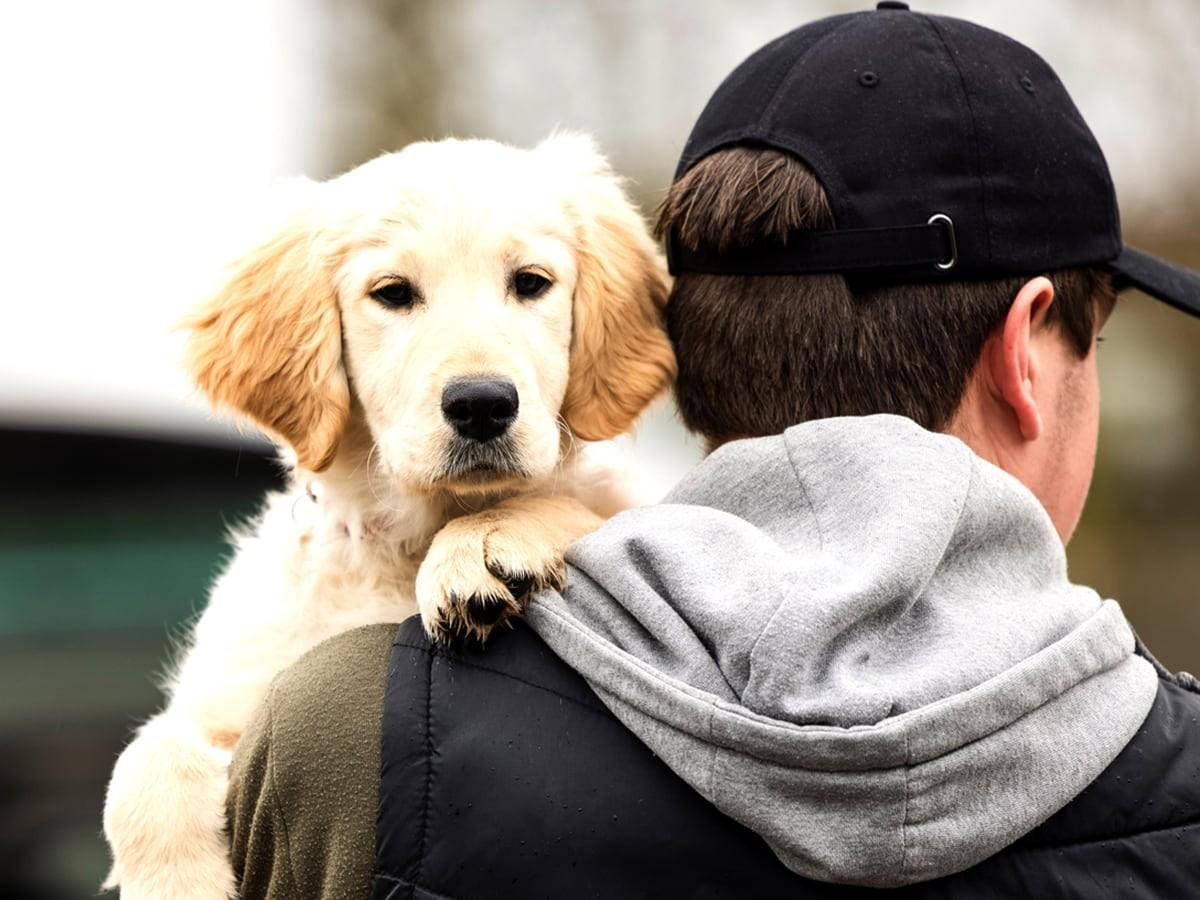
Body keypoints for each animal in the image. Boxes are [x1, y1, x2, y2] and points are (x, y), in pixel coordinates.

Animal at [103, 135, 676, 900]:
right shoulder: (234, 695)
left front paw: (485, 543)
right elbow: (142, 762)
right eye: (393, 294)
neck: (408, 539)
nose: (483, 404)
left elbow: (578, 502)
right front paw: (179, 884)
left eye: (531, 283)